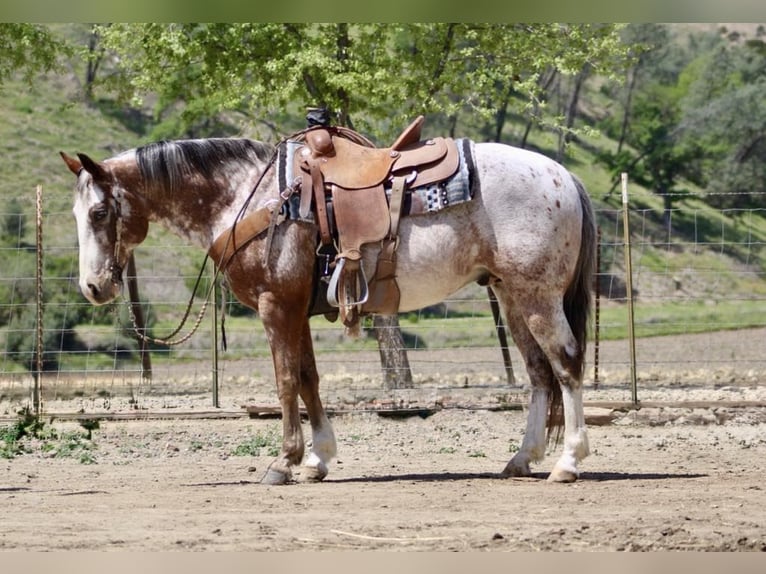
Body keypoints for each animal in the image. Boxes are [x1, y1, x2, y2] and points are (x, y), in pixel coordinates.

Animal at [61, 131, 596, 485]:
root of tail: (563, 175)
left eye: (100, 212)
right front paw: (318, 459)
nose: (93, 287)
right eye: (77, 213)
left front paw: (285, 461)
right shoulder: (296, 308)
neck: (250, 196)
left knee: (566, 364)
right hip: (511, 294)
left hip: (538, 294)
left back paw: (567, 463)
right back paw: (521, 460)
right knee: (539, 373)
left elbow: (284, 381)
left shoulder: (276, 306)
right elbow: (308, 379)